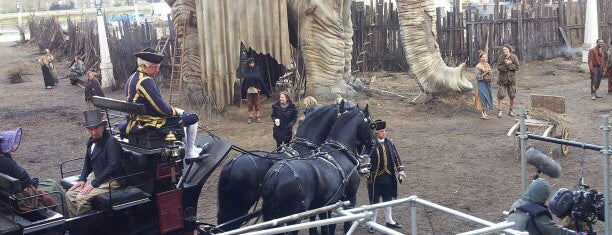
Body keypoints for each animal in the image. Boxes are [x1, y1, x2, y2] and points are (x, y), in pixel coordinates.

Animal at [260, 105, 372, 234]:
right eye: (370, 123)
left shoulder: (326, 205)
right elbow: (346, 225)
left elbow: (327, 226)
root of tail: (276, 174)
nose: (373, 143)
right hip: (294, 217)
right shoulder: (350, 198)